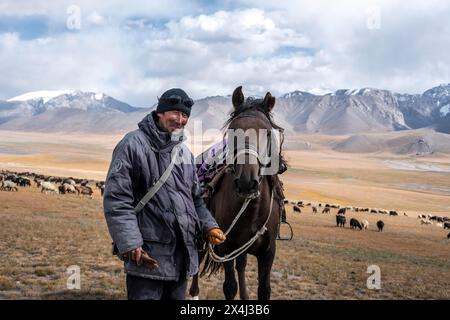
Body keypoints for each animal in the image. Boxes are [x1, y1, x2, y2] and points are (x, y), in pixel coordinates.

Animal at [188, 85, 284, 300]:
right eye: (233, 130)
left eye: (267, 133)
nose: (247, 182)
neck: (252, 210)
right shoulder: (226, 246)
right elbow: (230, 287)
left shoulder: (268, 252)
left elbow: (264, 290)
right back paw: (194, 294)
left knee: (241, 265)